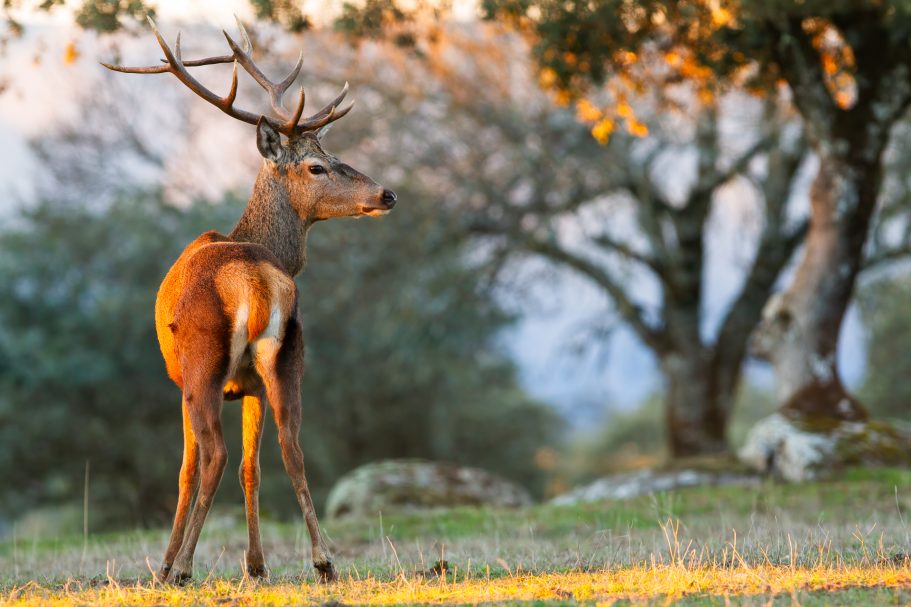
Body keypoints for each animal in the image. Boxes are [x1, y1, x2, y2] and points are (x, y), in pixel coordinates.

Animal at [101, 17, 397, 584]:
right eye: (318, 166)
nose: (387, 194)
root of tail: (257, 281)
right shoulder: (251, 385)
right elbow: (252, 467)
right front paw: (256, 565)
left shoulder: (181, 382)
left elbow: (189, 468)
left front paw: (166, 563)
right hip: (286, 357)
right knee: (291, 447)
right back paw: (323, 561)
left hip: (203, 363)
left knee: (214, 456)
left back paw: (182, 568)